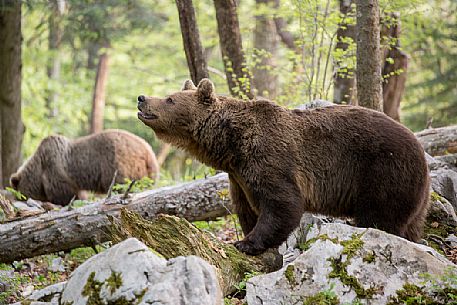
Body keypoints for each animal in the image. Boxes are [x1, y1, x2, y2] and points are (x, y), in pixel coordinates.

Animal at [137, 78, 430, 254]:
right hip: (415, 198)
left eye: (170, 99)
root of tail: (421, 151)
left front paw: (245, 243)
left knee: (380, 218)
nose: (142, 98)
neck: (232, 144)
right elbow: (247, 209)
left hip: (384, 171)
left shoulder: (268, 157)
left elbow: (282, 203)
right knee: (411, 225)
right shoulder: (238, 177)